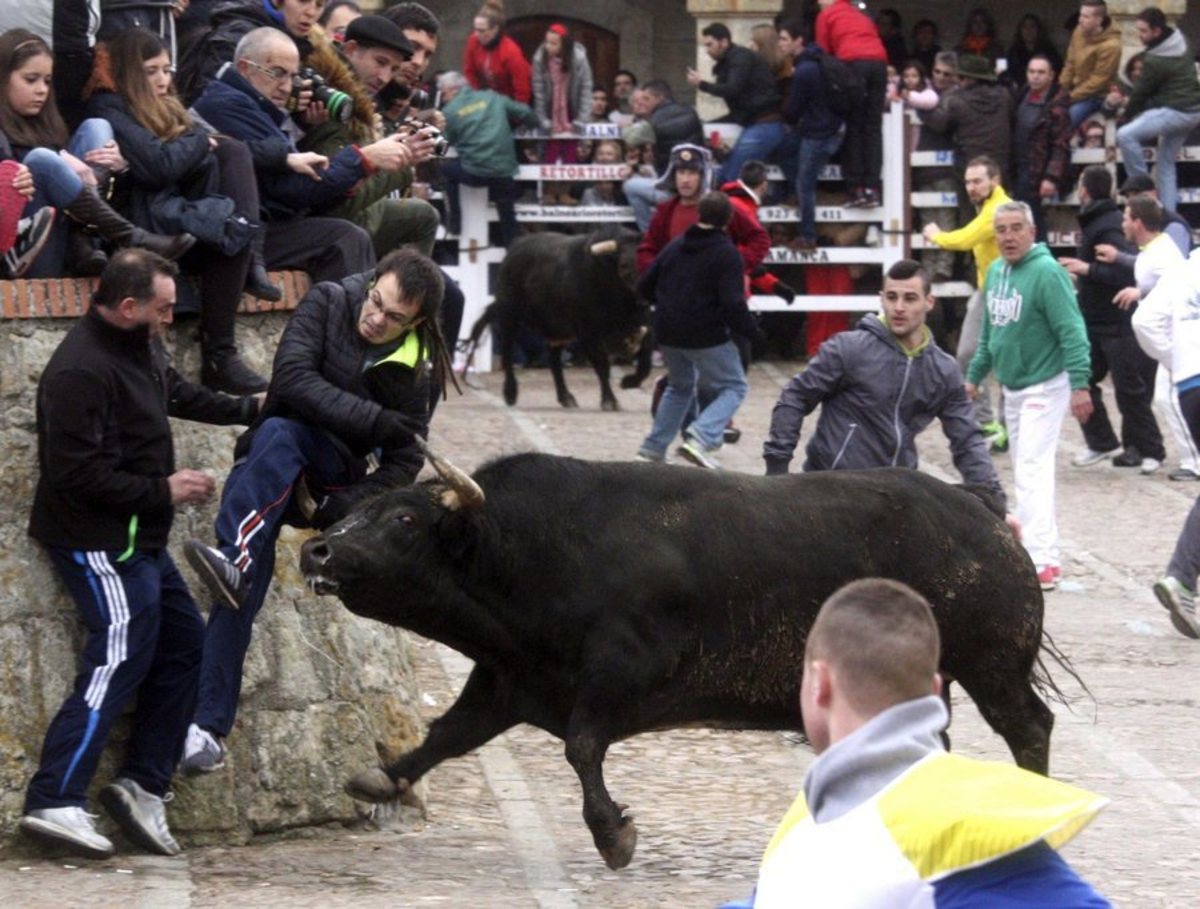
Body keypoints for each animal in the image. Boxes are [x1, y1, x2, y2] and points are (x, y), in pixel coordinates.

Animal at [300, 453, 1060, 873]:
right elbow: (444, 736)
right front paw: (378, 778)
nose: (317, 549)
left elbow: (581, 747)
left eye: (404, 520)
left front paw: (614, 834)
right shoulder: (507, 683)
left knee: (1030, 726)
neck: (529, 550)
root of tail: (984, 514)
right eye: (366, 506)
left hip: (994, 665)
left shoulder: (618, 674)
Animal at [468, 227, 657, 412]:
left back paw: (566, 397)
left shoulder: (643, 324)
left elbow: (646, 361)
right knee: (507, 351)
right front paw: (609, 401)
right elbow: (602, 365)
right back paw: (510, 392)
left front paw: (629, 382)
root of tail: (514, 249)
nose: (644, 301)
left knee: (554, 361)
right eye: (624, 266)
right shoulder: (587, 333)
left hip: (556, 329)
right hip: (509, 316)